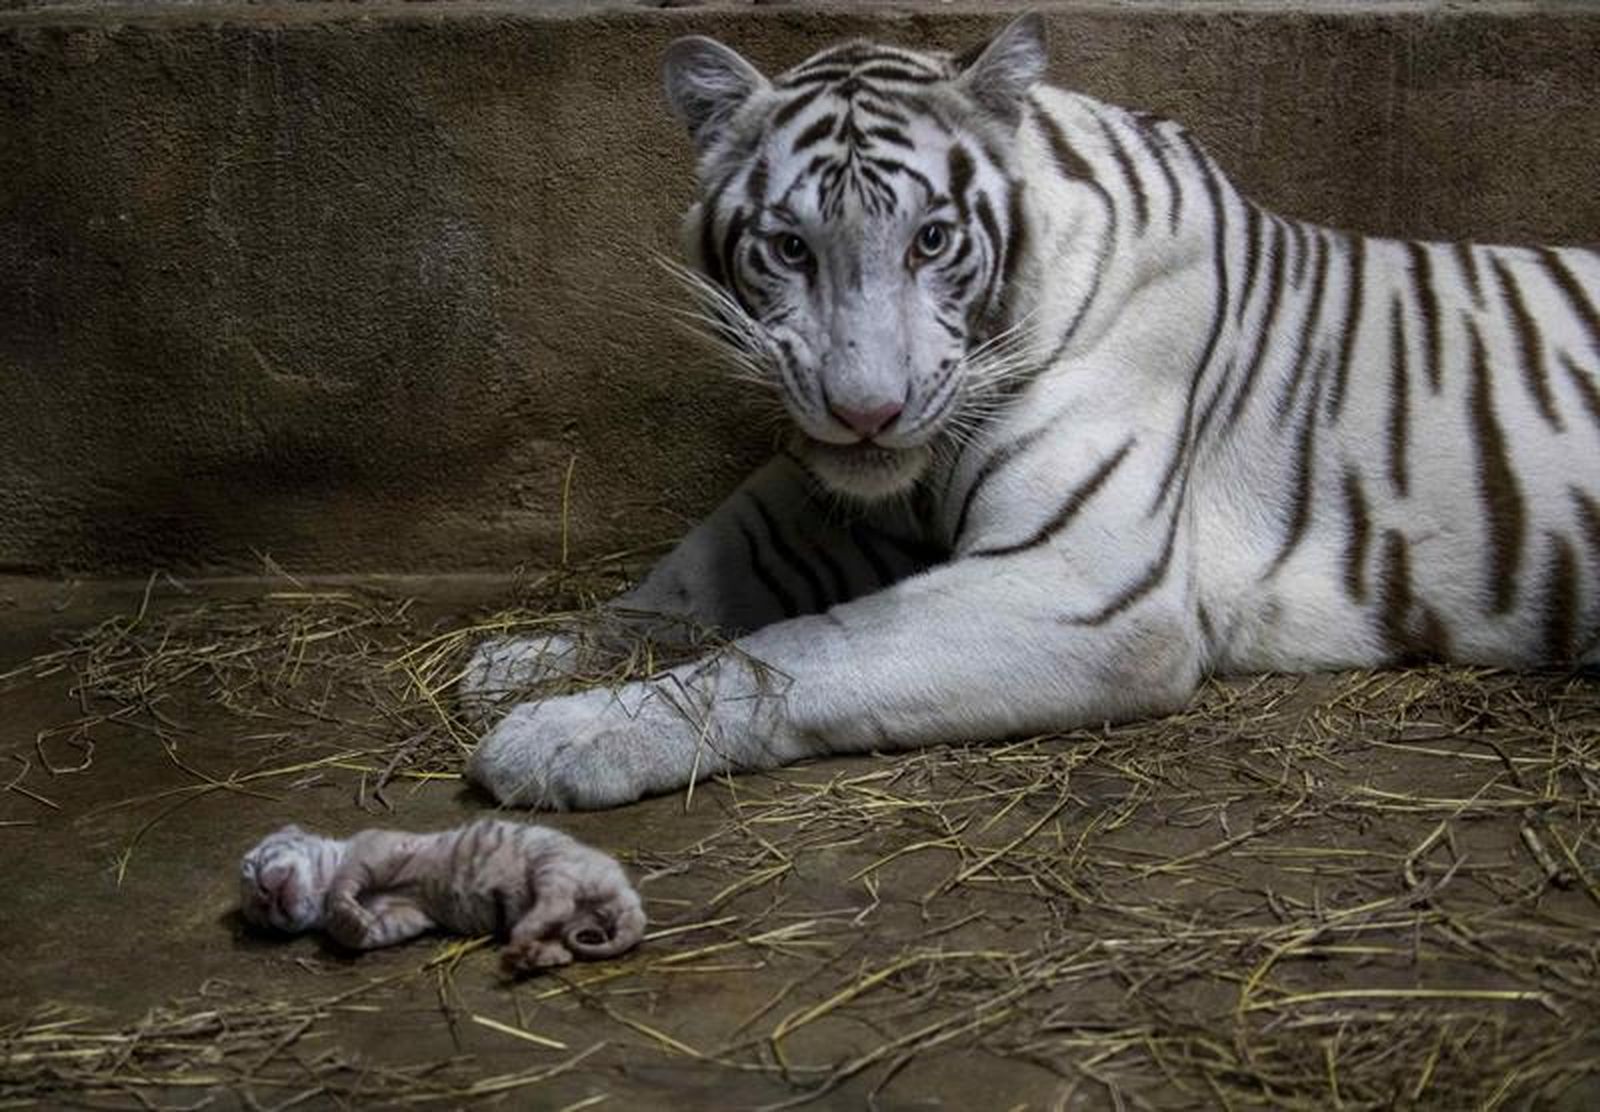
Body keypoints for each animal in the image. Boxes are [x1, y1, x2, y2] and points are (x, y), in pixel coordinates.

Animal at [238, 819, 646, 970]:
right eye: (262, 920)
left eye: (254, 866)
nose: (265, 898)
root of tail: (625, 892)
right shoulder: (406, 915)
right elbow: (368, 932)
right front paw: (352, 925)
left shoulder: (375, 848)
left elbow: (346, 881)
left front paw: (344, 910)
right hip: (572, 910)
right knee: (562, 935)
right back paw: (534, 954)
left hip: (552, 862)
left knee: (556, 901)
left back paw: (522, 939)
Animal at [462, 14, 1600, 811]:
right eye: (788, 248)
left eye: (930, 239)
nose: (865, 413)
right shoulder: (828, 498)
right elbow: (681, 581)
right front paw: (520, 658)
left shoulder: (1087, 585)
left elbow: (798, 649)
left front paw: (559, 736)